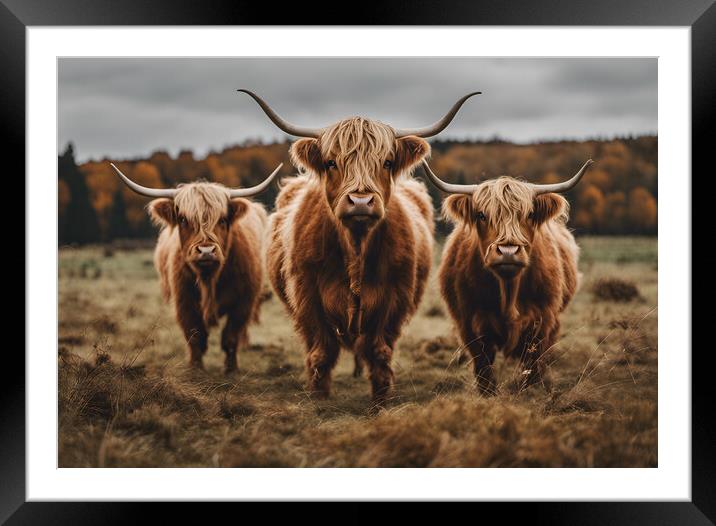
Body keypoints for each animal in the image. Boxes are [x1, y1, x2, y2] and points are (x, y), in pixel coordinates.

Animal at [110, 163, 282, 374]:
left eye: (222, 219)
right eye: (183, 219)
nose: (206, 251)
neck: (210, 279)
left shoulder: (244, 301)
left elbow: (231, 336)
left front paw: (231, 369)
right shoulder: (184, 301)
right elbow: (195, 336)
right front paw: (196, 368)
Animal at [422, 161, 592, 396]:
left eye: (529, 214)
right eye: (481, 215)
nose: (508, 251)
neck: (508, 291)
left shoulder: (542, 322)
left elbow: (532, 368)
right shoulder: (470, 325)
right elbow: (484, 372)